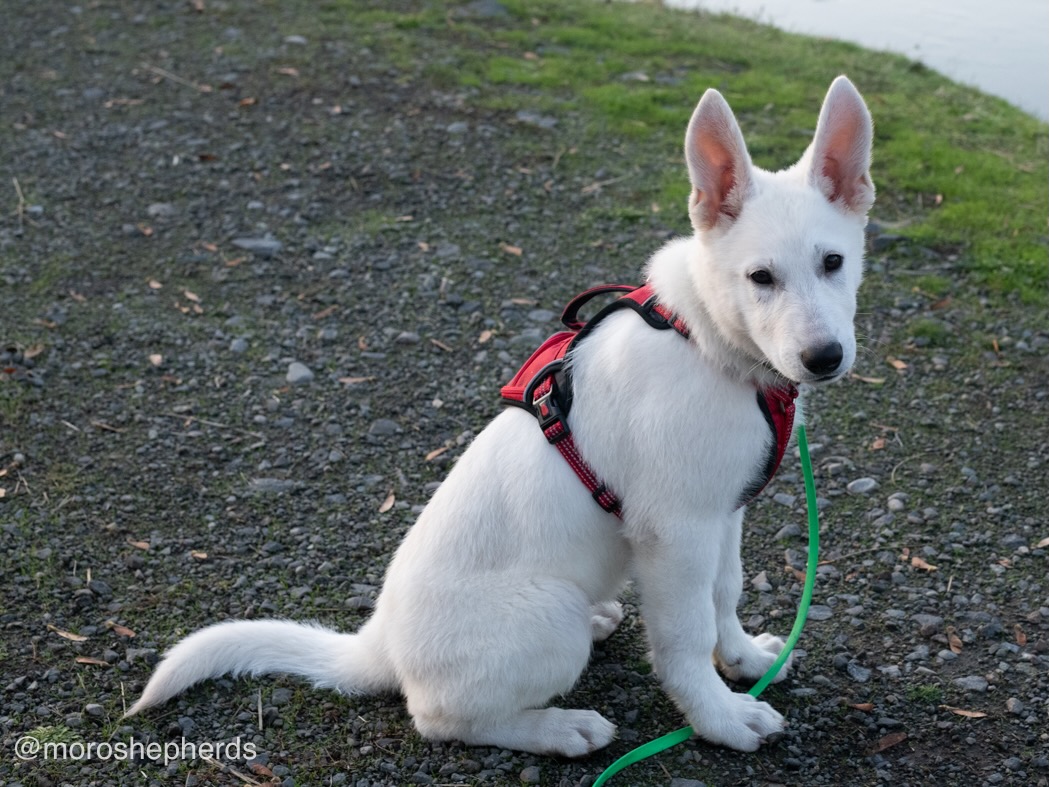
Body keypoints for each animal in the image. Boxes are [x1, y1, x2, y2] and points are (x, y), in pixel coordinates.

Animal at [126, 77, 872, 759]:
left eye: (833, 262)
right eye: (760, 278)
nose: (823, 358)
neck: (707, 340)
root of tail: (379, 644)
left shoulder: (722, 513)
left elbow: (724, 593)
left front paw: (742, 659)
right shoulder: (675, 529)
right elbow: (685, 637)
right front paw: (717, 717)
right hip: (546, 615)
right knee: (441, 717)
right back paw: (558, 728)